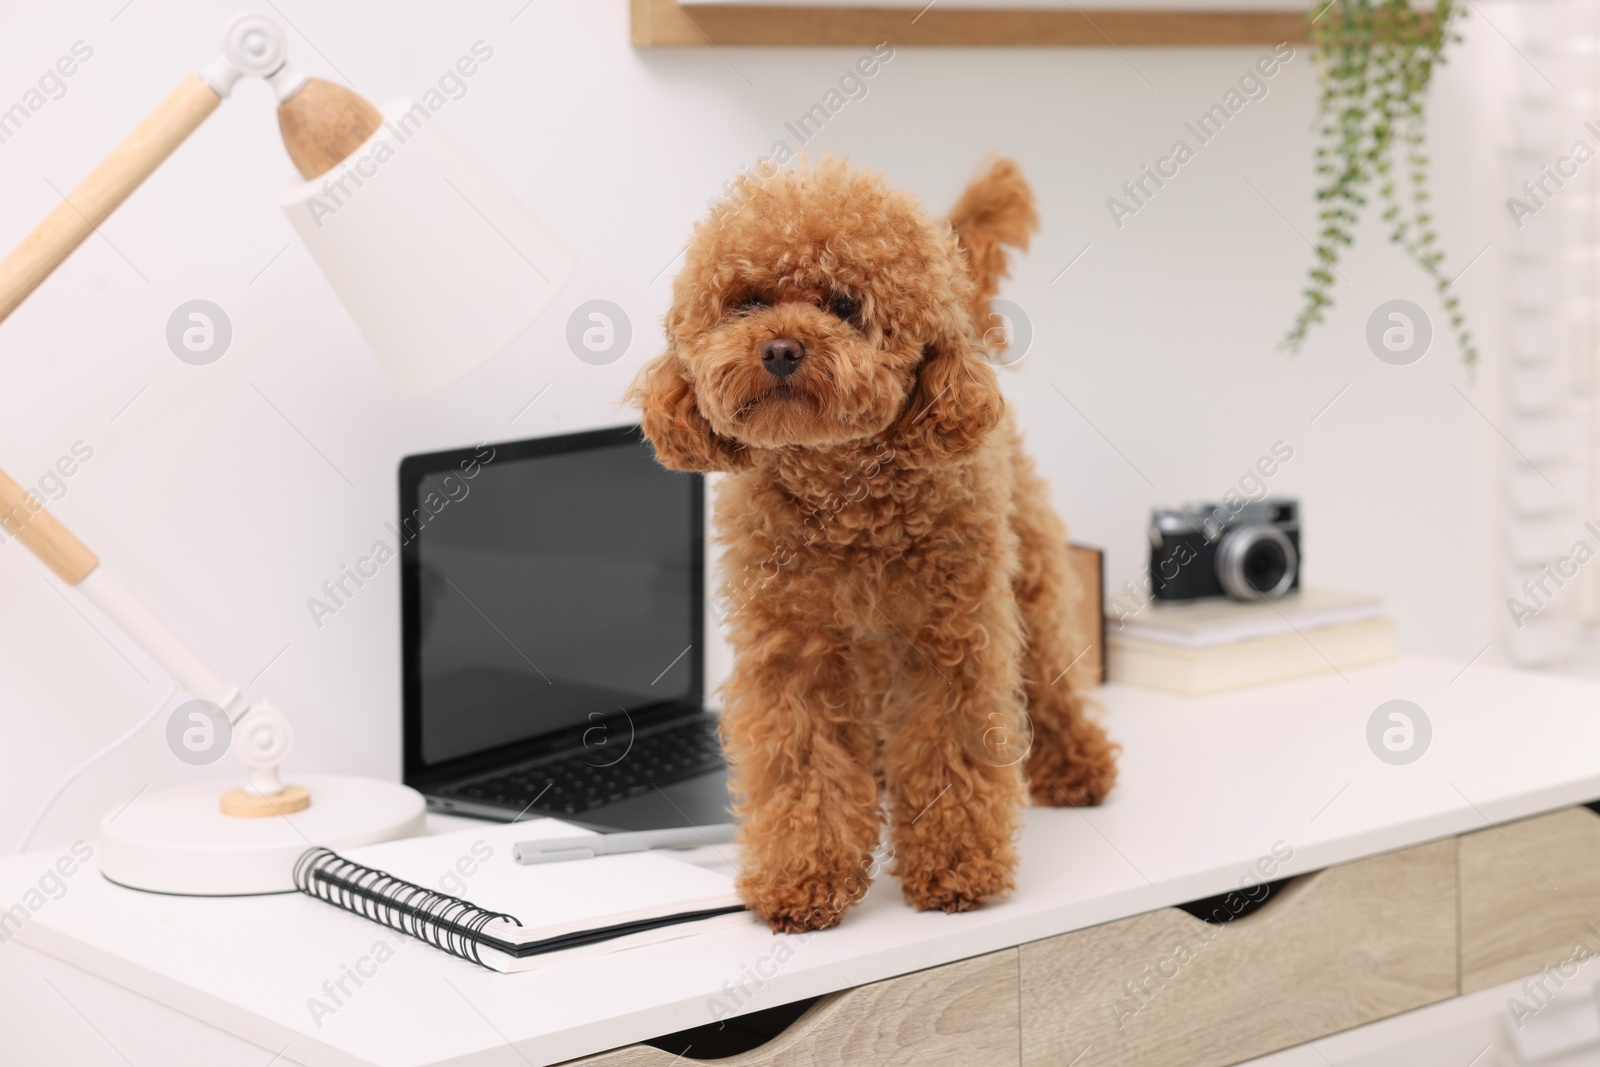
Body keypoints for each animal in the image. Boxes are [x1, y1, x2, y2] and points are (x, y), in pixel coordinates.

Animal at [630, 158, 1120, 934]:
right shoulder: (792, 648)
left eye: (842, 303)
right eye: (749, 301)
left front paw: (956, 867)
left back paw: (1076, 766)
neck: (845, 501)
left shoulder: (950, 637)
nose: (780, 349)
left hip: (1030, 570)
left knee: (1050, 667)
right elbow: (802, 764)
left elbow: (952, 749)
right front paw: (802, 879)